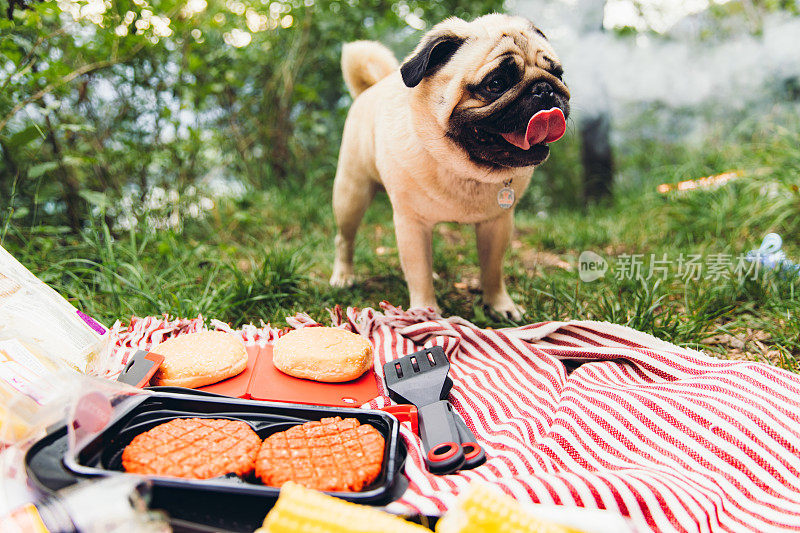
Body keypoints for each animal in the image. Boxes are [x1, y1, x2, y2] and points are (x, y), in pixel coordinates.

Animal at [330, 13, 568, 320]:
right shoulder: (412, 224)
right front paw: (425, 313)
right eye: (496, 83)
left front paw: (499, 305)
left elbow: (492, 270)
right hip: (351, 194)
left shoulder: (497, 224)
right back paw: (343, 276)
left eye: (558, 74)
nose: (544, 88)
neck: (462, 168)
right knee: (345, 239)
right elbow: (418, 272)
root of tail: (370, 87)